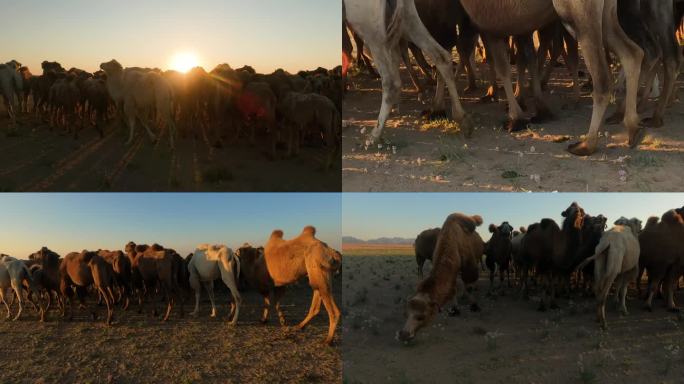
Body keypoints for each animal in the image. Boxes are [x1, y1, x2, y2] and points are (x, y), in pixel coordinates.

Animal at [396, 213, 486, 342]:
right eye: (406, 313)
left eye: (421, 317)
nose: (403, 334)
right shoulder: (452, 269)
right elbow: (453, 289)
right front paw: (455, 309)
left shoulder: (469, 265)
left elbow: (469, 286)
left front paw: (474, 306)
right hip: (419, 256)